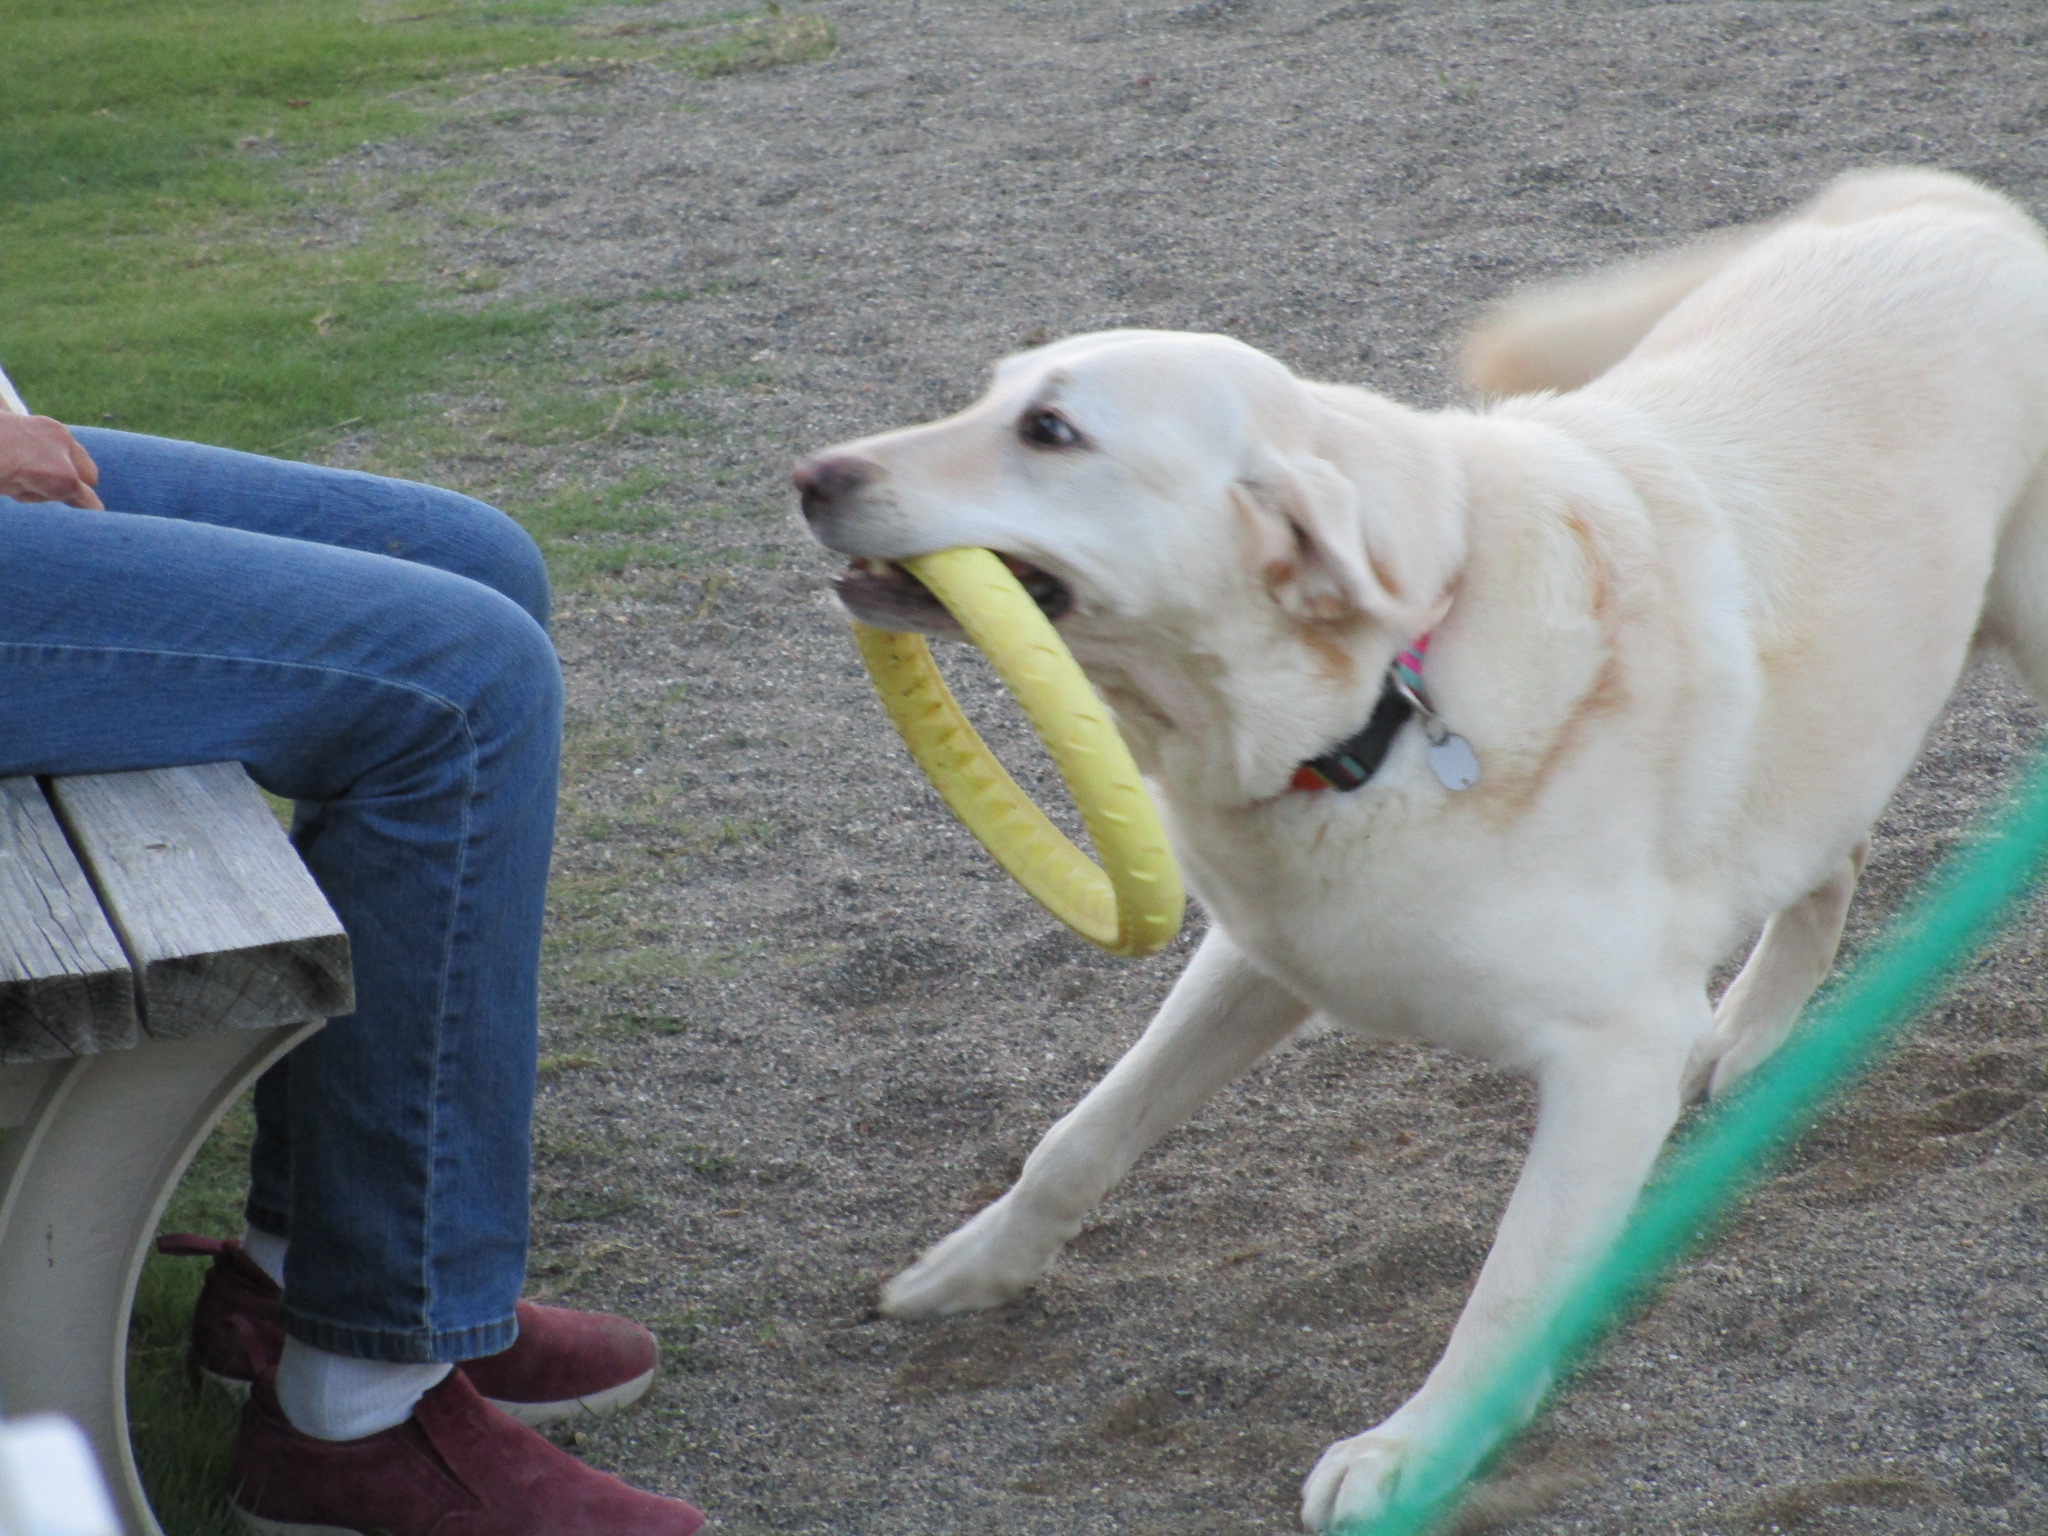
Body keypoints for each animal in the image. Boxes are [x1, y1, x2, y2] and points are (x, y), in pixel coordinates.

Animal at [790, 174, 2048, 1531]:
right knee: (1825, 858)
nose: (809, 474)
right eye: (988, 394)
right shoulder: (1260, 957)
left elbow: (1508, 1293)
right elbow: (1080, 1135)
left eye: (1051, 432)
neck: (1389, 700)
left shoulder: (1612, 1054)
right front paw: (967, 1269)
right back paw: (1754, 1028)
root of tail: (1940, 197)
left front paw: (1412, 1454)